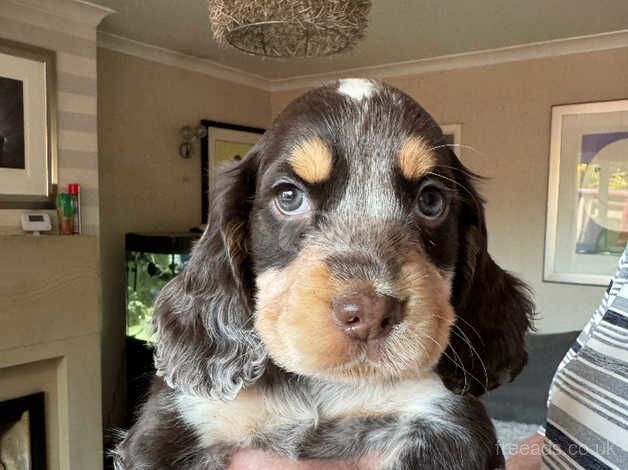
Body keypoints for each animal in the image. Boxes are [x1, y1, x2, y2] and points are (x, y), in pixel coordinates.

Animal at [115, 80, 532, 470]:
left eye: (431, 200)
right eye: (288, 196)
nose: (369, 314)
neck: (325, 387)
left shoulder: (452, 422)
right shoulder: (174, 424)